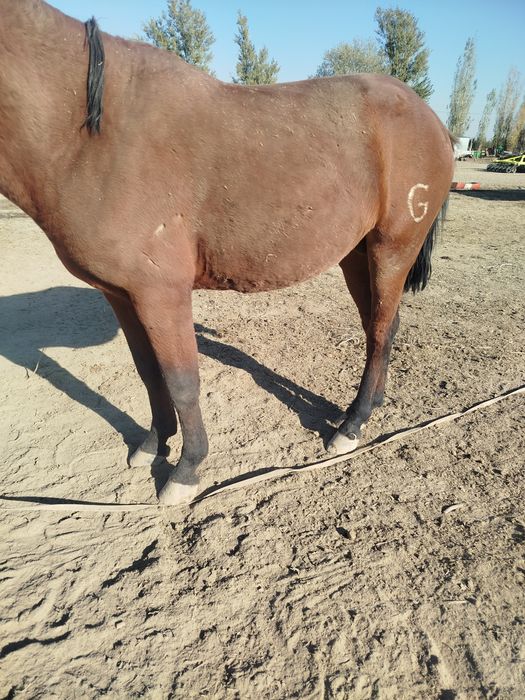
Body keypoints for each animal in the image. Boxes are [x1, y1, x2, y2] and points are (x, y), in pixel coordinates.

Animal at [0, 0, 455, 505]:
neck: (92, 138)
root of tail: (430, 117)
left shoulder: (160, 293)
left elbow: (181, 380)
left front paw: (186, 470)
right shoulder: (120, 294)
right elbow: (149, 372)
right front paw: (154, 443)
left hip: (391, 249)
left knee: (379, 331)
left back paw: (351, 426)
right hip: (356, 255)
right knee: (382, 327)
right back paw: (365, 408)